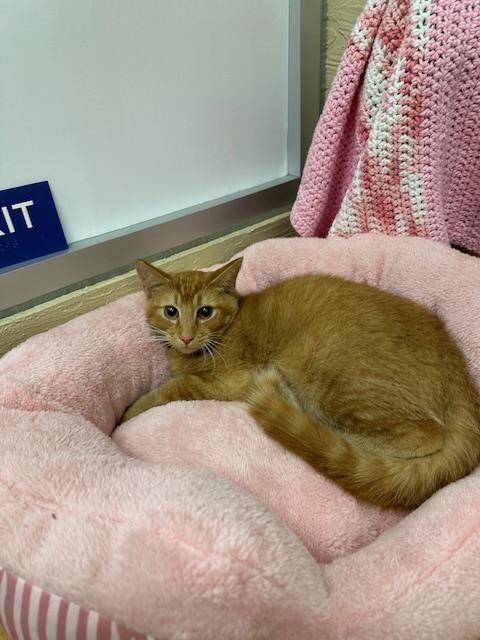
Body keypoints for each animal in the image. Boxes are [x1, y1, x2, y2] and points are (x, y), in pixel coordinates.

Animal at [123, 258, 480, 508]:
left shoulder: (230, 382)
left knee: (425, 434)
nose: (185, 336)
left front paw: (130, 410)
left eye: (205, 311)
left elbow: (173, 387)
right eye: (171, 311)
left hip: (335, 383)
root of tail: (459, 373)